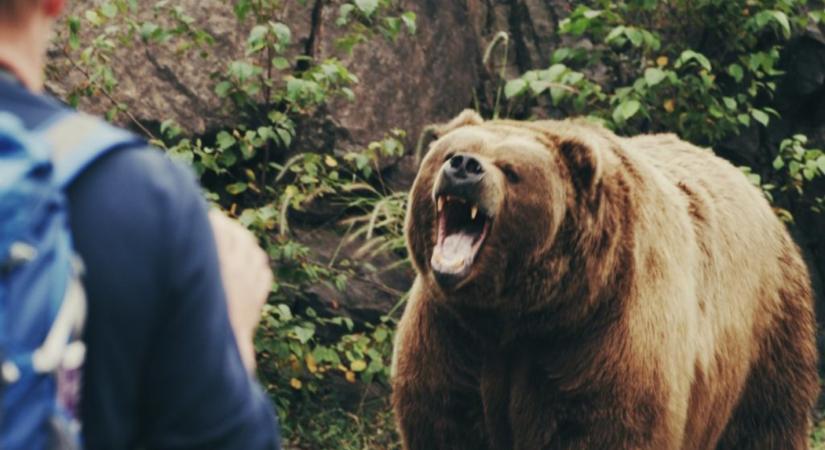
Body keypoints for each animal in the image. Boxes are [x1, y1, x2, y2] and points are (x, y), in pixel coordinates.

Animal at [392, 110, 816, 450]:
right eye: (449, 152)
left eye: (511, 170)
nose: (464, 166)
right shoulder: (452, 333)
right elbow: (446, 419)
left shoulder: (605, 332)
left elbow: (607, 425)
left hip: (766, 333)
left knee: (766, 422)